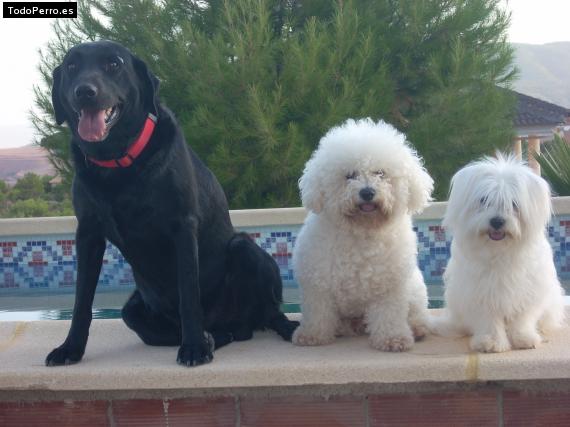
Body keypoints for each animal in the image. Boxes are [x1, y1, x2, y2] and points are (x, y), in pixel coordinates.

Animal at [46, 41, 298, 368]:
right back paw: (216, 335)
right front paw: (70, 348)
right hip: (134, 309)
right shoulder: (88, 233)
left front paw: (194, 347)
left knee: (269, 311)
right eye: (72, 67)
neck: (118, 164)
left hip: (246, 249)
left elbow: (188, 293)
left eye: (114, 64)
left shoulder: (182, 226)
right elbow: (81, 302)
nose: (85, 91)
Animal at [290, 118, 432, 352]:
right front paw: (312, 335)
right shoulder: (319, 285)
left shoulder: (389, 288)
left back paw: (418, 329)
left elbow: (389, 315)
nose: (367, 192)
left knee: (417, 314)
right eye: (350, 175)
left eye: (380, 173)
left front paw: (393, 339)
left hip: (415, 291)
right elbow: (318, 313)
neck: (362, 232)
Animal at [430, 155, 564, 352]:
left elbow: (523, 318)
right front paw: (490, 342)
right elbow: (488, 320)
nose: (497, 221)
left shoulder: (527, 290)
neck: (499, 251)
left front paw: (524, 338)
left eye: (514, 204)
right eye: (483, 200)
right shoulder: (480, 293)